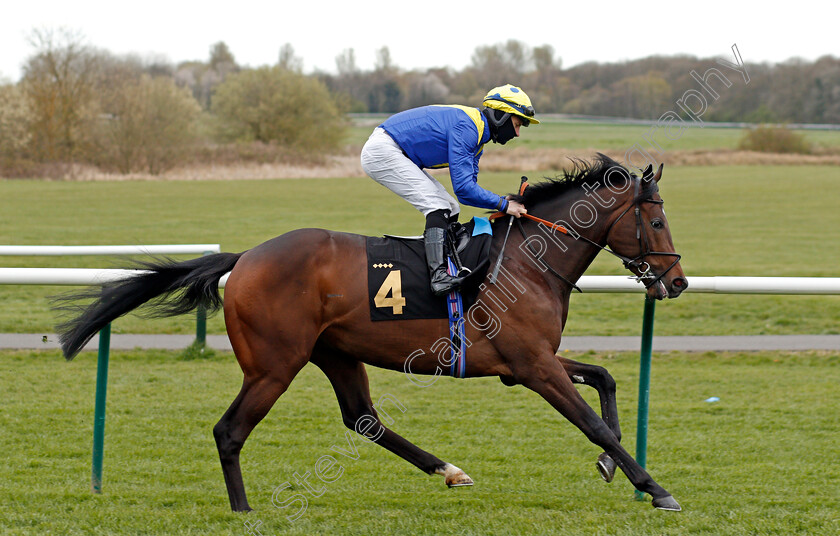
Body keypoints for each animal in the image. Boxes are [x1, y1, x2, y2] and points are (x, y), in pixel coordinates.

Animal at [59, 154, 688, 510]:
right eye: (657, 220)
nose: (677, 281)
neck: (530, 258)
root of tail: (247, 257)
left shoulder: (529, 361)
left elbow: (605, 379)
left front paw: (613, 468)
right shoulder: (532, 365)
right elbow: (591, 423)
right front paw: (655, 488)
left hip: (336, 353)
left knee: (363, 418)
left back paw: (448, 470)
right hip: (273, 365)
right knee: (229, 430)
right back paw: (242, 510)